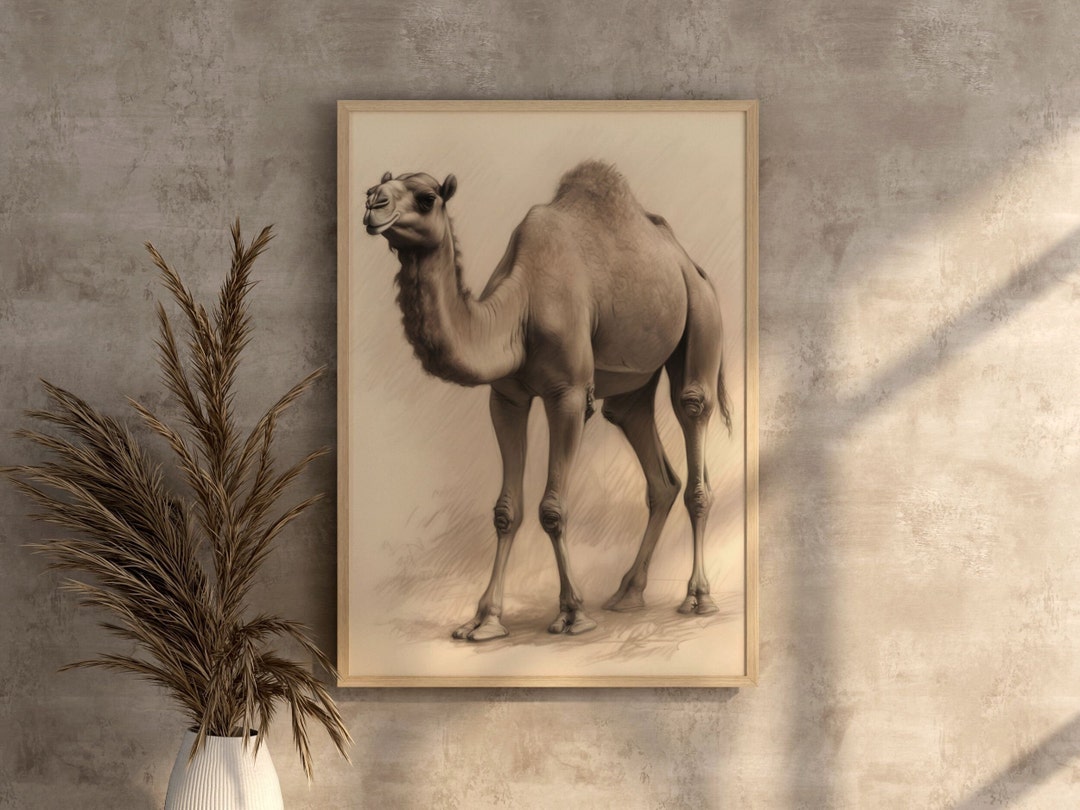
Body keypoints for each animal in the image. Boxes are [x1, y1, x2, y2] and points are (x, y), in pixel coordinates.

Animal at [363, 161, 731, 641]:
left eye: (427, 198)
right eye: (374, 188)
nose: (373, 204)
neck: (516, 312)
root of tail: (692, 264)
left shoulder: (569, 394)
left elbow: (552, 509)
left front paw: (573, 613)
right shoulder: (506, 398)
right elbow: (506, 510)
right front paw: (483, 620)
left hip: (702, 316)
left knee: (692, 417)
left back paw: (698, 598)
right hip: (633, 379)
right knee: (646, 450)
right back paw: (626, 593)